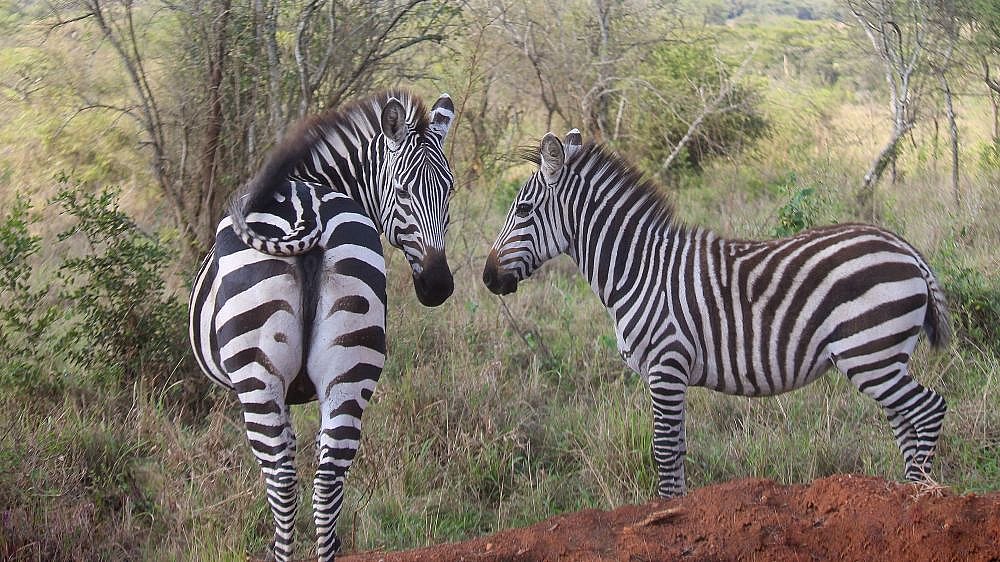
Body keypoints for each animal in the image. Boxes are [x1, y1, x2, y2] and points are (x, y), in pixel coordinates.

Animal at [189, 90, 455, 561]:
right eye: (404, 192)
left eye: (450, 191)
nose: (439, 285)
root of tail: (306, 213)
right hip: (351, 365)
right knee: (328, 479)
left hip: (257, 378)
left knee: (282, 479)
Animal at [483, 130, 951, 499]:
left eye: (522, 210)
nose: (488, 278)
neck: (639, 270)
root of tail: (906, 249)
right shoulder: (670, 375)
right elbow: (677, 450)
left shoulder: (666, 365)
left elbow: (663, 450)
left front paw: (668, 513)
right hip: (883, 357)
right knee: (904, 419)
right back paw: (905, 493)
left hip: (868, 352)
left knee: (929, 408)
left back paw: (921, 497)